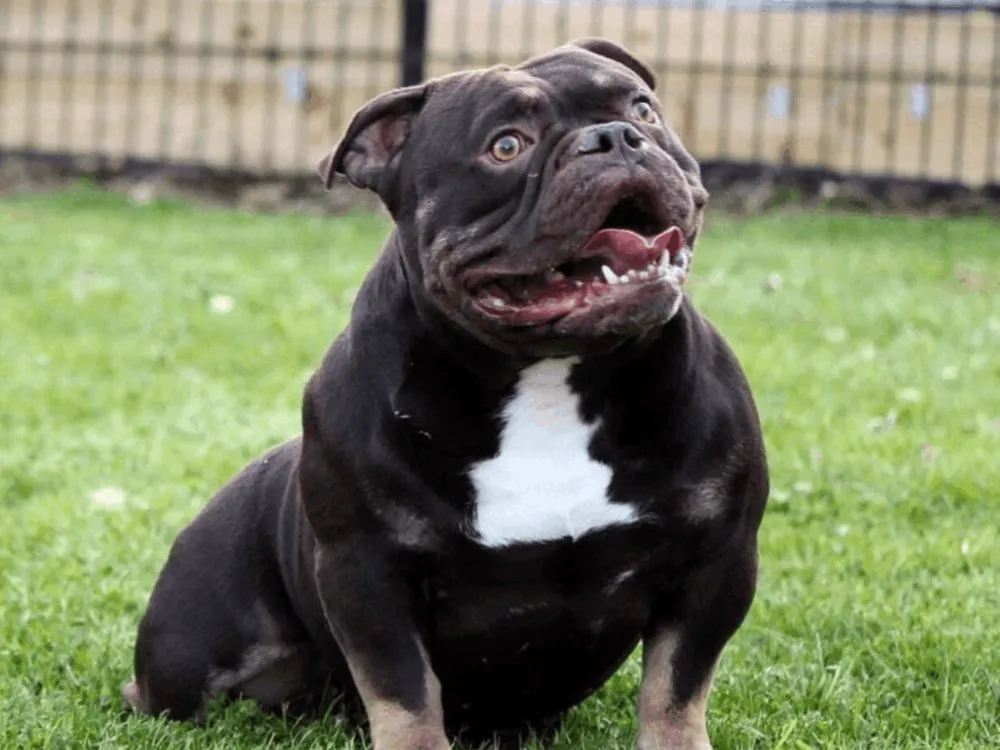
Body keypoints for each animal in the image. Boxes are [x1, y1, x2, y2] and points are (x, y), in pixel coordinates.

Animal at [122, 38, 769, 750]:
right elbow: (405, 696)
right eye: (506, 146)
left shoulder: (717, 561)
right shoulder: (368, 575)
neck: (550, 377)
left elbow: (675, 689)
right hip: (190, 655)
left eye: (643, 109)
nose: (615, 138)